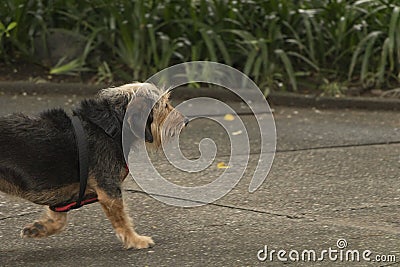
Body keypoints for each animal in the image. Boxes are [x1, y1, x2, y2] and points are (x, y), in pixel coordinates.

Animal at [0, 82, 189, 250]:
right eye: (165, 105)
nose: (186, 121)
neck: (111, 126)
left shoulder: (61, 200)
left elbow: (59, 221)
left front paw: (39, 228)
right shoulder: (109, 190)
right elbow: (122, 220)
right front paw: (135, 240)